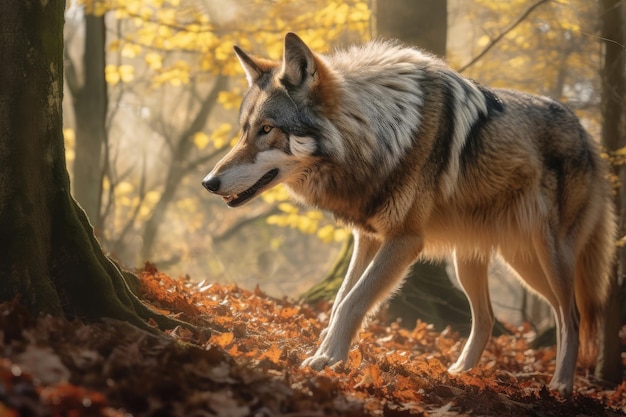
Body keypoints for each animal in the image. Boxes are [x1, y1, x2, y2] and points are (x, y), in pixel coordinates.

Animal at [204, 31, 616, 394]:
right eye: (244, 131)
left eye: (267, 129)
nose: (208, 182)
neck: (381, 133)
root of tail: (587, 135)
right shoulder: (368, 238)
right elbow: (339, 301)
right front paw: (325, 349)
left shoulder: (404, 240)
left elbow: (353, 301)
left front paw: (327, 359)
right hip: (484, 262)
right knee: (489, 318)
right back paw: (459, 374)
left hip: (545, 257)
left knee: (572, 316)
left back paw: (561, 385)